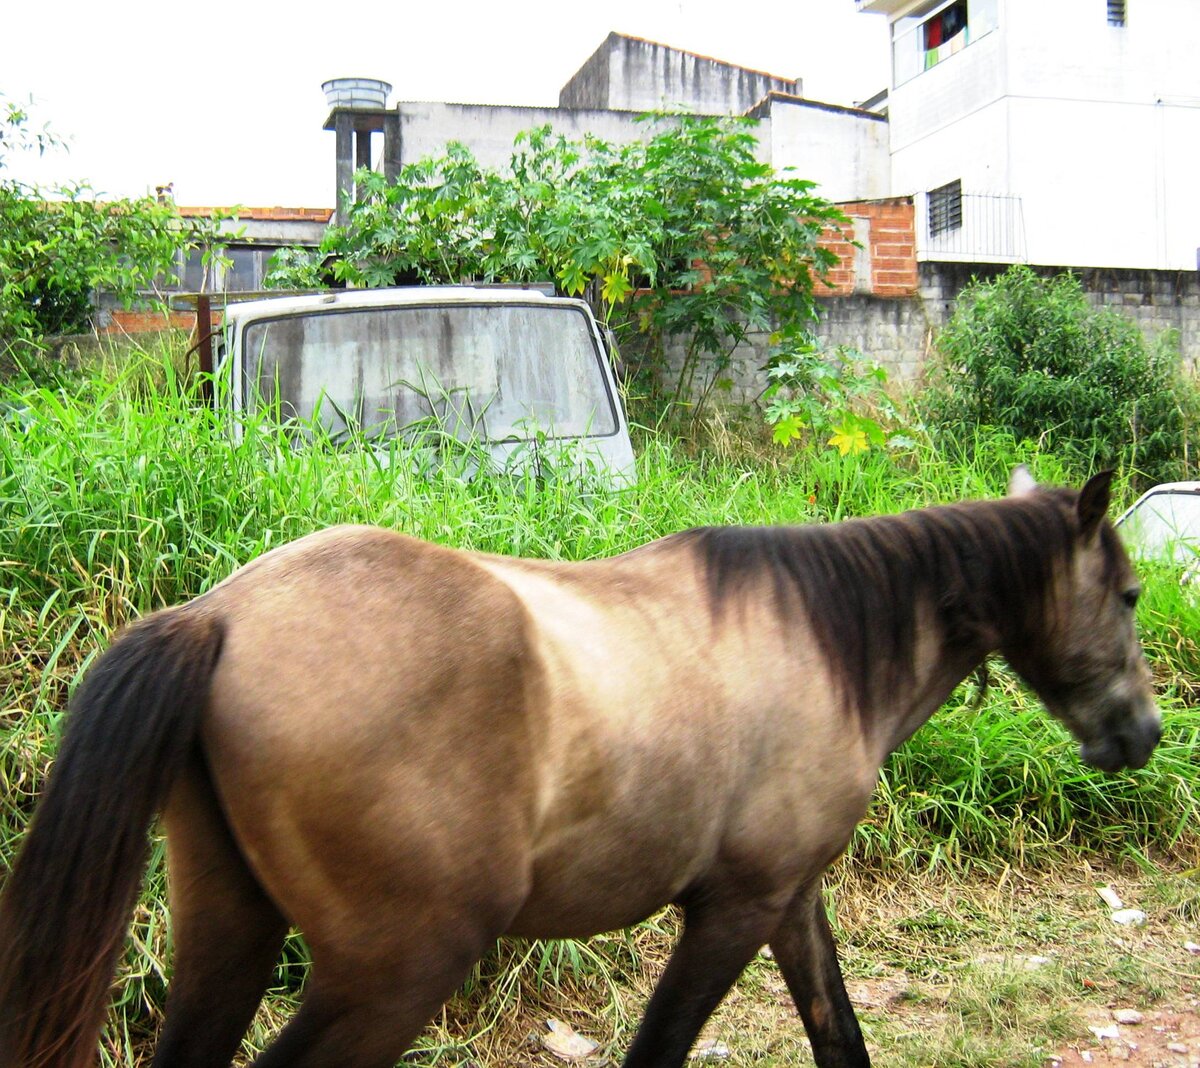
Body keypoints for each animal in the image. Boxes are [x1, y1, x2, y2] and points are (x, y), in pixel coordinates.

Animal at [0, 467, 1160, 1068]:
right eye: (1132, 593)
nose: (1144, 734)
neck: (822, 638)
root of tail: (221, 616)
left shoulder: (791, 901)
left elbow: (841, 1035)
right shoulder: (735, 910)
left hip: (231, 935)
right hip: (397, 971)